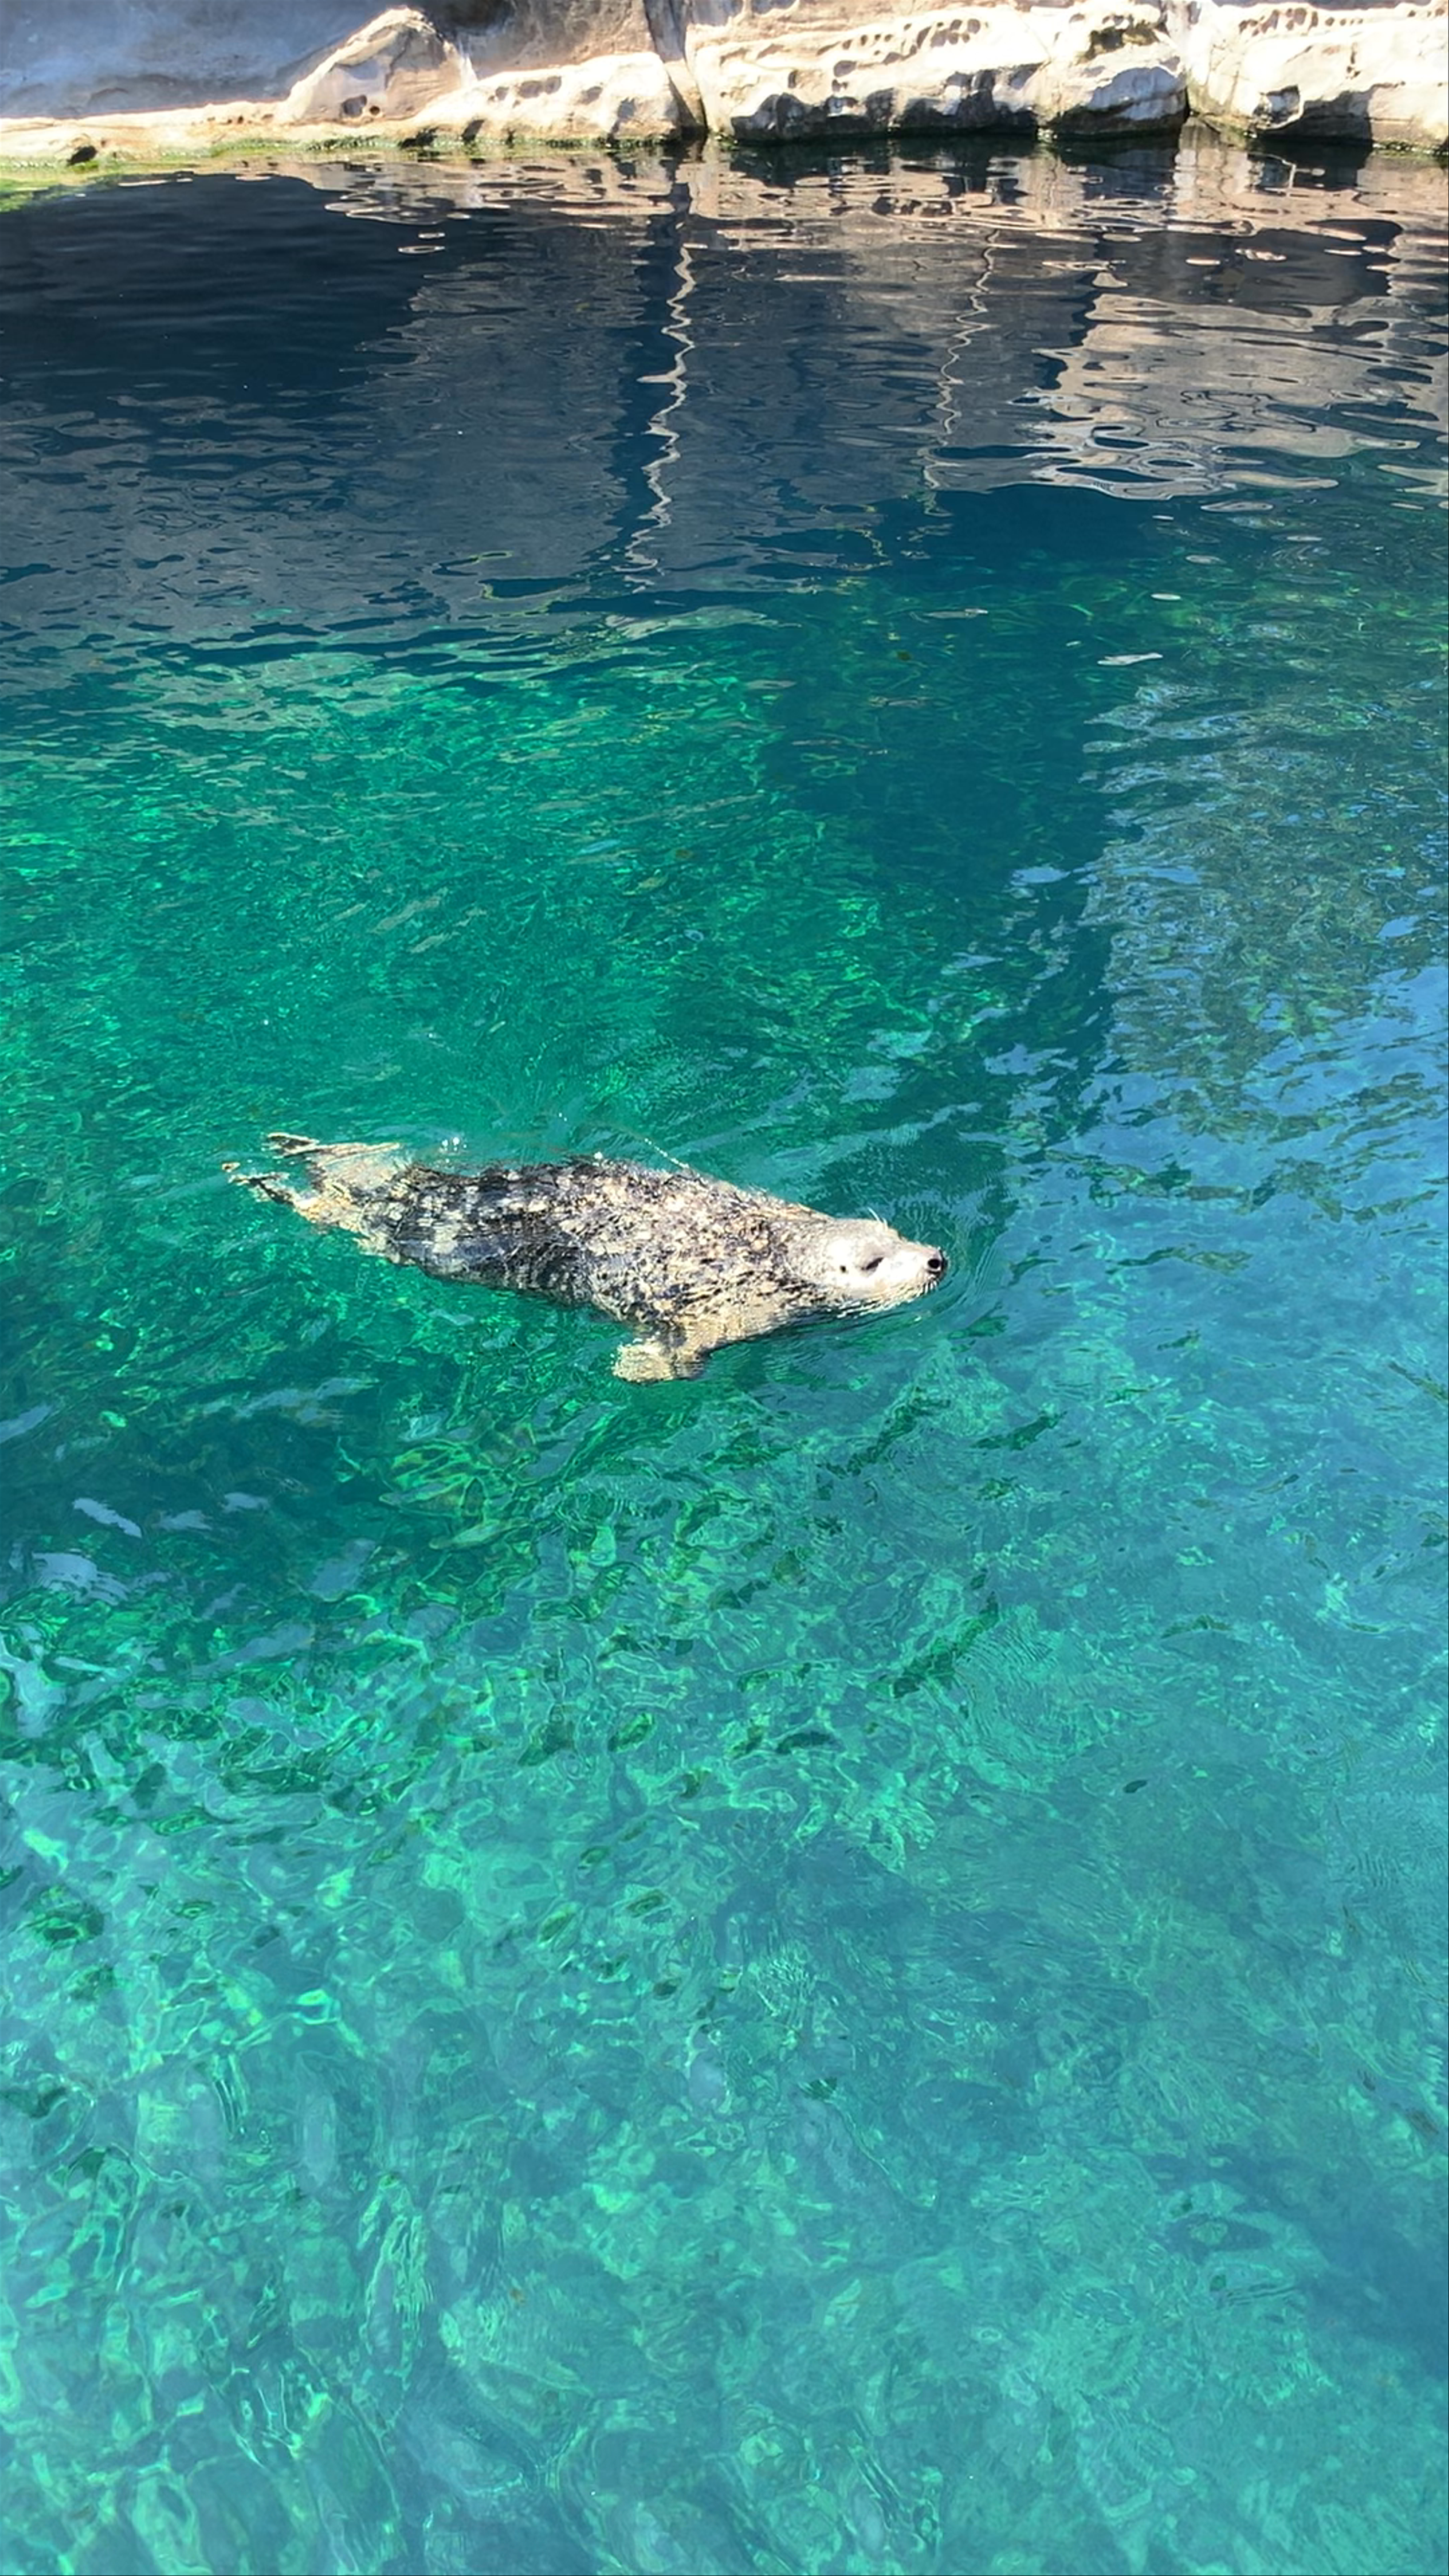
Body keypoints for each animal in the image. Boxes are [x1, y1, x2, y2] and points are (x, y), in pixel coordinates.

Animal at [227, 1135, 946, 1380]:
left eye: (898, 1234)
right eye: (875, 1262)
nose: (936, 1259)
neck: (777, 1250)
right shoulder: (727, 1309)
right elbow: (683, 1350)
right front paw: (637, 1367)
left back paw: (296, 1152)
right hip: (425, 1240)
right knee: (343, 1211)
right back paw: (271, 1181)